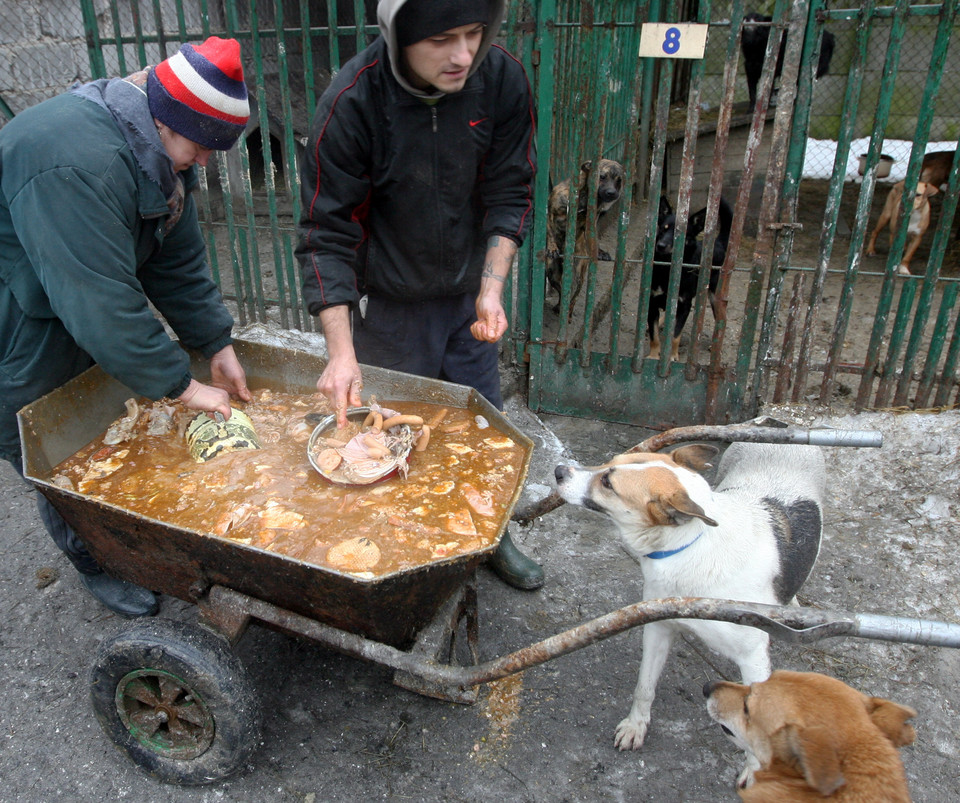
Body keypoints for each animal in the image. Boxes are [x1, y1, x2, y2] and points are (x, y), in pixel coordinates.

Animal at [556, 442, 824, 776]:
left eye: (608, 483)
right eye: (609, 463)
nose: (559, 471)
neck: (693, 543)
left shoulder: (754, 657)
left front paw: (756, 772)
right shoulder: (658, 626)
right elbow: (644, 686)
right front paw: (635, 726)